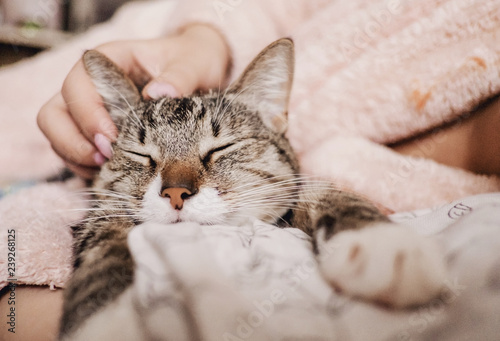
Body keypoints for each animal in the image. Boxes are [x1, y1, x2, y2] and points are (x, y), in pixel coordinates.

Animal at [58, 38, 446, 336]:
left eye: (221, 148)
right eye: (141, 155)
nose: (175, 193)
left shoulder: (293, 193)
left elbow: (329, 193)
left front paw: (381, 241)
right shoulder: (99, 217)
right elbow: (105, 252)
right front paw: (109, 321)